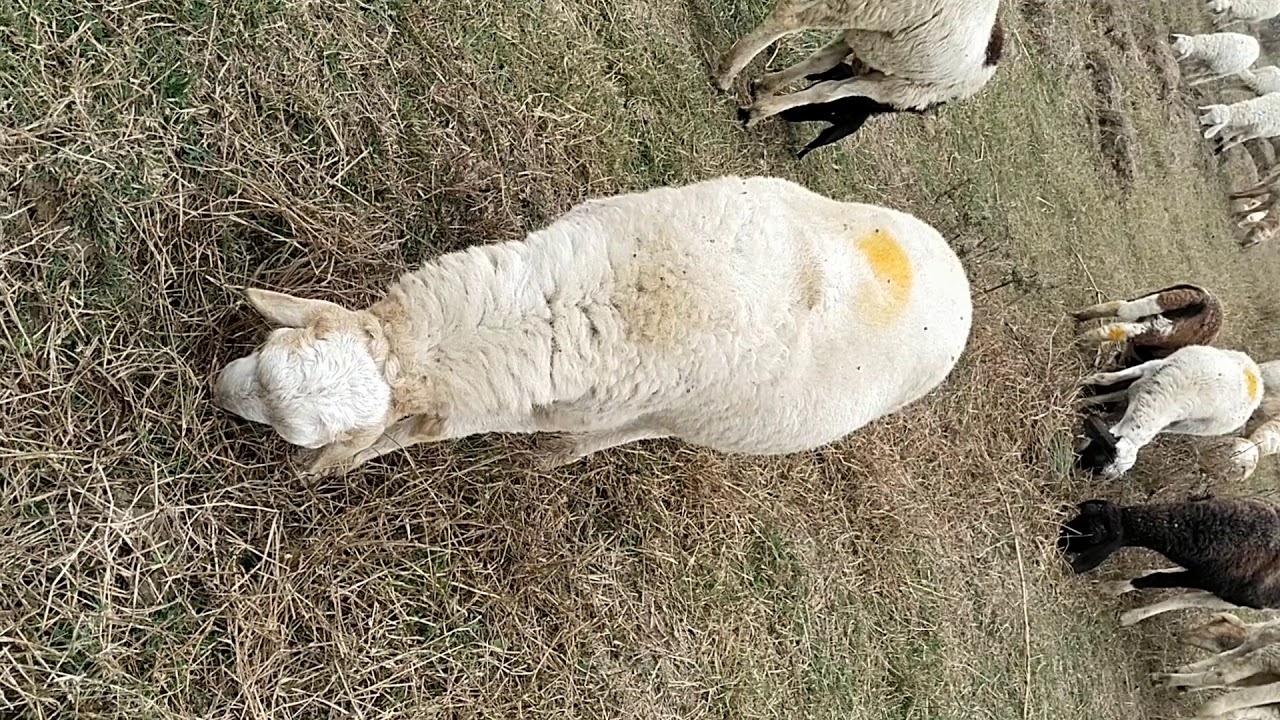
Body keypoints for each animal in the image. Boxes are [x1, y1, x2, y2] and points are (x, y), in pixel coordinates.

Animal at [213, 176, 974, 474]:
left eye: (299, 434)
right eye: (272, 345)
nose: (217, 392)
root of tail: (963, 282)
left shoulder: (539, 402)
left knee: (633, 432)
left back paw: (562, 457)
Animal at [713, 0, 1003, 137]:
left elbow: (797, 29)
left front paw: (739, 77)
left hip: (892, 78)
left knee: (827, 86)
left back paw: (761, 103)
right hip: (879, 56)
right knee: (825, 70)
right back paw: (757, 92)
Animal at [1058, 496, 1280, 627]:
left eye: (1093, 537)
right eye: (1081, 515)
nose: (1059, 540)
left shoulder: (1205, 579)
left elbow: (1154, 580)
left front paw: (1111, 588)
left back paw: (1131, 617)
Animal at [1072, 284, 1224, 367]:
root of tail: (1203, 300)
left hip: (1151, 300)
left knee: (1118, 307)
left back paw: (1077, 318)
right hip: (1159, 330)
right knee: (1116, 329)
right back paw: (1078, 340)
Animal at [1073, 345, 1263, 478]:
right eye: (1099, 454)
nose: (1075, 472)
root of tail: (1258, 381)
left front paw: (1079, 402)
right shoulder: (1150, 367)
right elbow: (1105, 379)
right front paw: (1082, 385)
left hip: (1186, 427)